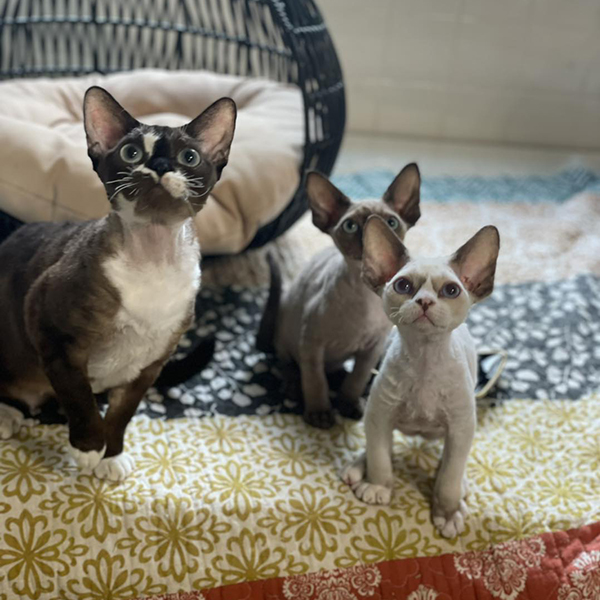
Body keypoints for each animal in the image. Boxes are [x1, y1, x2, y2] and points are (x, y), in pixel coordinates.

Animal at [0, 86, 237, 480]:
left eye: (188, 157)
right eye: (132, 153)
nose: (160, 166)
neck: (154, 262)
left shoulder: (147, 367)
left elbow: (120, 415)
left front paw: (110, 456)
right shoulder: (56, 338)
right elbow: (80, 400)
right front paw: (88, 449)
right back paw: (8, 415)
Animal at [258, 163, 422, 426]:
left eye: (391, 222)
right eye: (350, 226)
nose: (370, 237)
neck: (366, 297)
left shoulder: (372, 348)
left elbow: (357, 379)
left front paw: (348, 403)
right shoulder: (311, 343)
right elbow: (315, 380)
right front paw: (319, 413)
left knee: (340, 372)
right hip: (287, 338)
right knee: (288, 365)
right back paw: (293, 388)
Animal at [342, 216, 502, 540]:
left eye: (451, 291)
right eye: (403, 285)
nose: (425, 301)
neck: (425, 362)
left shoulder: (461, 428)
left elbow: (449, 477)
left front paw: (448, 513)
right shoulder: (380, 415)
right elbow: (380, 457)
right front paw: (378, 485)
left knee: (453, 465)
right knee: (377, 445)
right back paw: (357, 469)